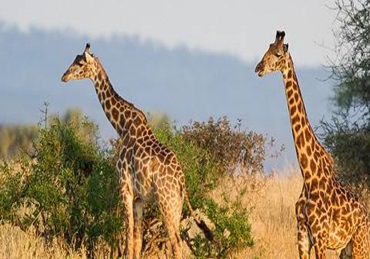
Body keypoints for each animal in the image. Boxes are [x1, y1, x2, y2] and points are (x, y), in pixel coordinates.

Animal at [61, 43, 212, 258]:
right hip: (176, 205)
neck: (122, 126)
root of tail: (181, 179)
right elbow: (138, 240)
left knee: (175, 241)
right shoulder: (140, 199)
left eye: (80, 63)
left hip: (165, 203)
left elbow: (128, 238)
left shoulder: (125, 188)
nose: (64, 76)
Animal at [256, 31, 368, 258]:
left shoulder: (320, 234)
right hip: (346, 249)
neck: (308, 175)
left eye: (278, 54)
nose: (259, 67)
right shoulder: (301, 234)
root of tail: (366, 215)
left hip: (361, 243)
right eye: (267, 47)